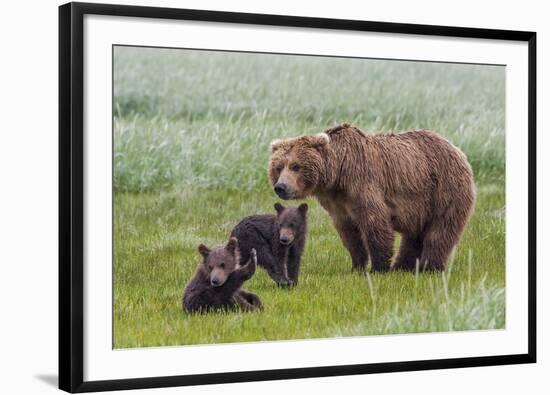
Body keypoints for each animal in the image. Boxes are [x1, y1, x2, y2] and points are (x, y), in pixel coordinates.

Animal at [270, 124, 476, 272]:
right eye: (278, 167)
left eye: (296, 166)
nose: (281, 187)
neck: (337, 176)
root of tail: (457, 150)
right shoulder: (337, 204)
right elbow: (349, 234)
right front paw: (357, 266)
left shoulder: (362, 184)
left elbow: (374, 223)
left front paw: (378, 267)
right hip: (421, 204)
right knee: (414, 234)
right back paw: (403, 266)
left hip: (444, 189)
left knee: (441, 229)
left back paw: (429, 266)